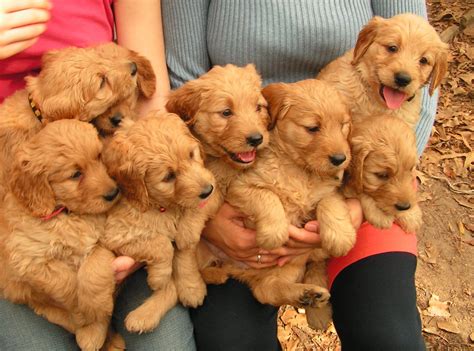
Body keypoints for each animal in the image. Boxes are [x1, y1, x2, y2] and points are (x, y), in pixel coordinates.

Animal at [0, 119, 122, 350]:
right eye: (75, 174)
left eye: (99, 156)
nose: (113, 193)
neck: (66, 213)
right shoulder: (28, 260)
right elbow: (66, 284)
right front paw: (85, 314)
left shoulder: (104, 240)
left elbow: (93, 271)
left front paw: (97, 308)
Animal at [103, 113, 219, 336]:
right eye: (169, 176)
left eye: (191, 155)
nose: (207, 190)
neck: (163, 207)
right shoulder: (115, 233)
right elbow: (162, 244)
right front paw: (159, 277)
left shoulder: (215, 192)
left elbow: (185, 250)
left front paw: (191, 287)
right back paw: (141, 317)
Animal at [202, 80, 354, 310]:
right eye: (312, 128)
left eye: (342, 125)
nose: (340, 159)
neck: (299, 170)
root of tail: (236, 270)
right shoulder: (241, 187)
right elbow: (268, 198)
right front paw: (274, 233)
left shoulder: (330, 189)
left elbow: (329, 203)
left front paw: (341, 237)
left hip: (293, 263)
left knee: (266, 290)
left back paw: (308, 294)